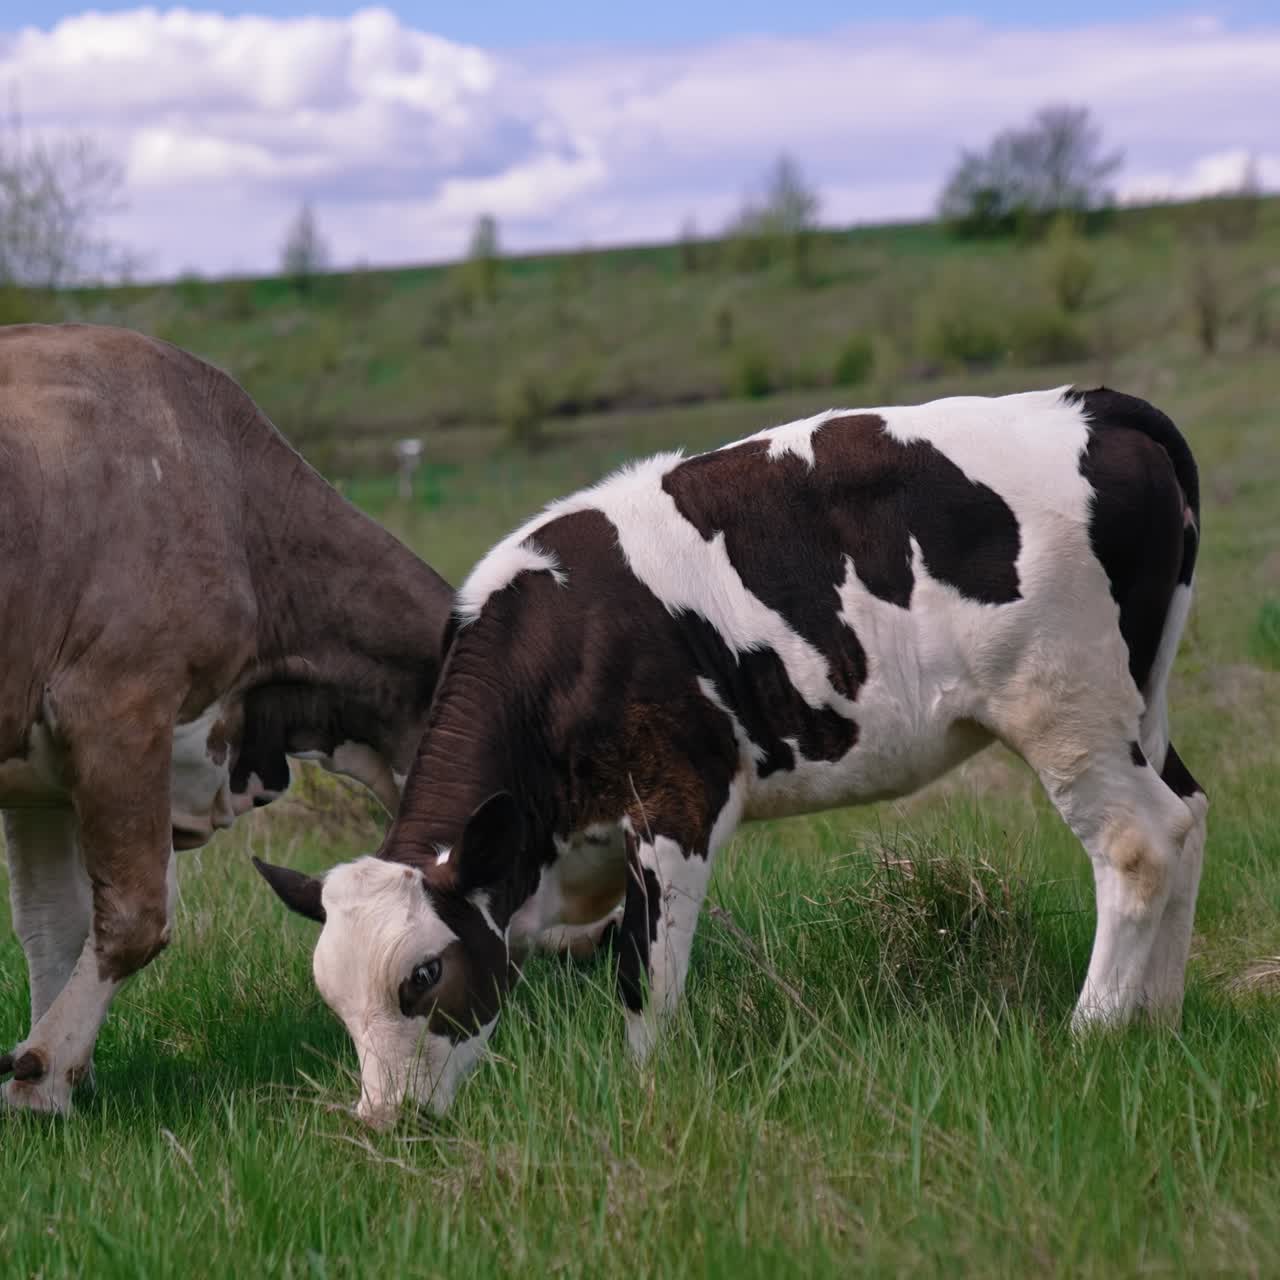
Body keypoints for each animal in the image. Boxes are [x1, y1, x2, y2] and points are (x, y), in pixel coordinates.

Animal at [0, 323, 456, 1114]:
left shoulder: (39, 776)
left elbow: (52, 926)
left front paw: (49, 1086)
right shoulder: (119, 705)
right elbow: (135, 916)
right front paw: (46, 1072)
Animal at [256, 387, 1208, 1127]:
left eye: (423, 976)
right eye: (334, 1000)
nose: (385, 1119)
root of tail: (1094, 406)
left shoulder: (676, 800)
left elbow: (645, 973)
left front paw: (645, 1092)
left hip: (1066, 705)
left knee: (1138, 842)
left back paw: (1091, 1034)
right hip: (1138, 702)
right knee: (1188, 815)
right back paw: (1159, 1017)